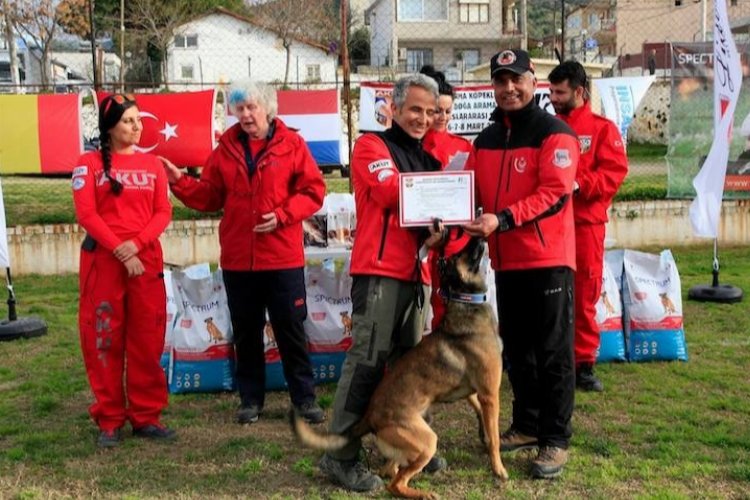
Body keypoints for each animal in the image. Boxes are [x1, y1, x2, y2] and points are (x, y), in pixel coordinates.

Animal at [290, 236, 508, 498]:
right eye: (459, 255)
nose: (477, 236)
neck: (465, 303)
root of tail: (370, 417)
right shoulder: (490, 394)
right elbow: (495, 437)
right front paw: (498, 468)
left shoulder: (476, 392)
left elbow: (482, 417)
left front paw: (483, 435)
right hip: (427, 440)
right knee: (395, 484)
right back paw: (422, 493)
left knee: (390, 471)